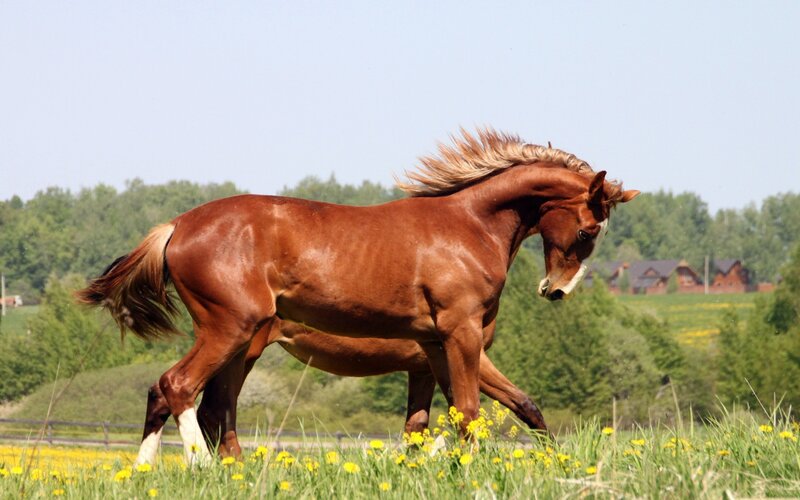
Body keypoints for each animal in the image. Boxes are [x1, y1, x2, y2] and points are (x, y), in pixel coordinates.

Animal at [77, 129, 638, 465]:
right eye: (588, 229)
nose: (556, 290)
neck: (468, 226)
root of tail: (177, 226)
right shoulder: (460, 336)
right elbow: (468, 412)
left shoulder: (434, 350)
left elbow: (481, 412)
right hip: (230, 328)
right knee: (179, 388)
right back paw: (201, 467)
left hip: (241, 344)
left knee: (202, 403)